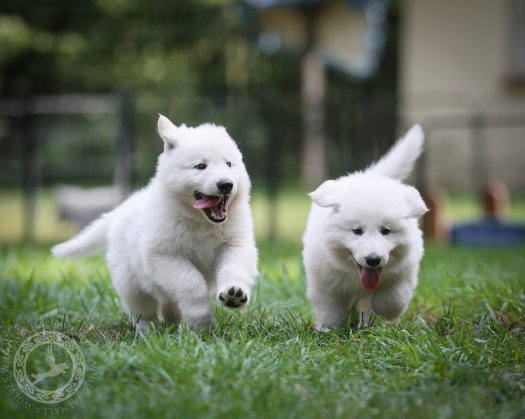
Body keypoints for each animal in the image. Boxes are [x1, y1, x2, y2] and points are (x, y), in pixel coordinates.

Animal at [53, 114, 258, 332]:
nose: (226, 184)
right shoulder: (165, 256)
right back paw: (148, 329)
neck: (201, 222)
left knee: (168, 303)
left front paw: (233, 294)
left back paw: (173, 324)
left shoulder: (235, 245)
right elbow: (191, 283)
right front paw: (200, 321)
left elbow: (234, 268)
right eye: (201, 166)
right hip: (130, 281)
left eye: (229, 164)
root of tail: (120, 210)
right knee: (143, 308)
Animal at [300, 125, 428, 332]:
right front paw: (327, 331)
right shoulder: (325, 282)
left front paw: (383, 317)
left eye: (386, 231)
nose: (373, 260)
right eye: (357, 231)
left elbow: (393, 298)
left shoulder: (403, 273)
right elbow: (330, 309)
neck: (355, 275)